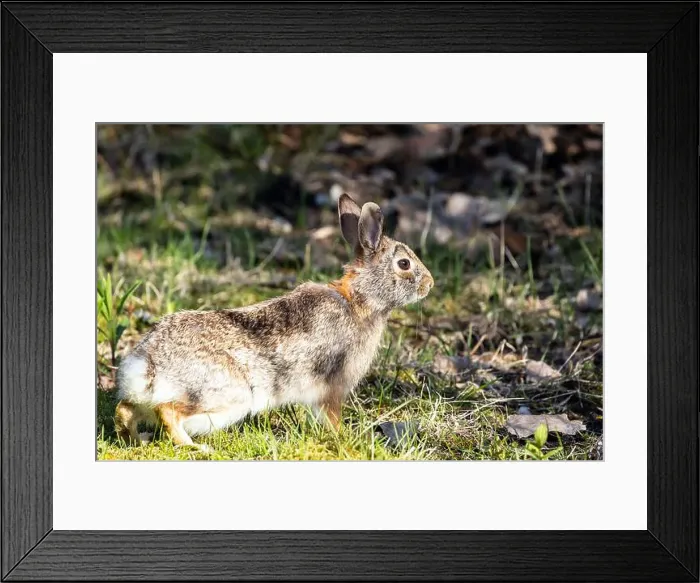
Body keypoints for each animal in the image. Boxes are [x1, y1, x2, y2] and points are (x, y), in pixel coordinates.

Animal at [114, 193, 434, 451]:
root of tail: (148, 364)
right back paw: (195, 447)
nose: (429, 284)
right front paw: (344, 438)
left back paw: (136, 439)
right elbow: (332, 417)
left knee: (125, 409)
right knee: (167, 411)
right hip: (227, 396)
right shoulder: (333, 385)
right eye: (404, 264)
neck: (360, 300)